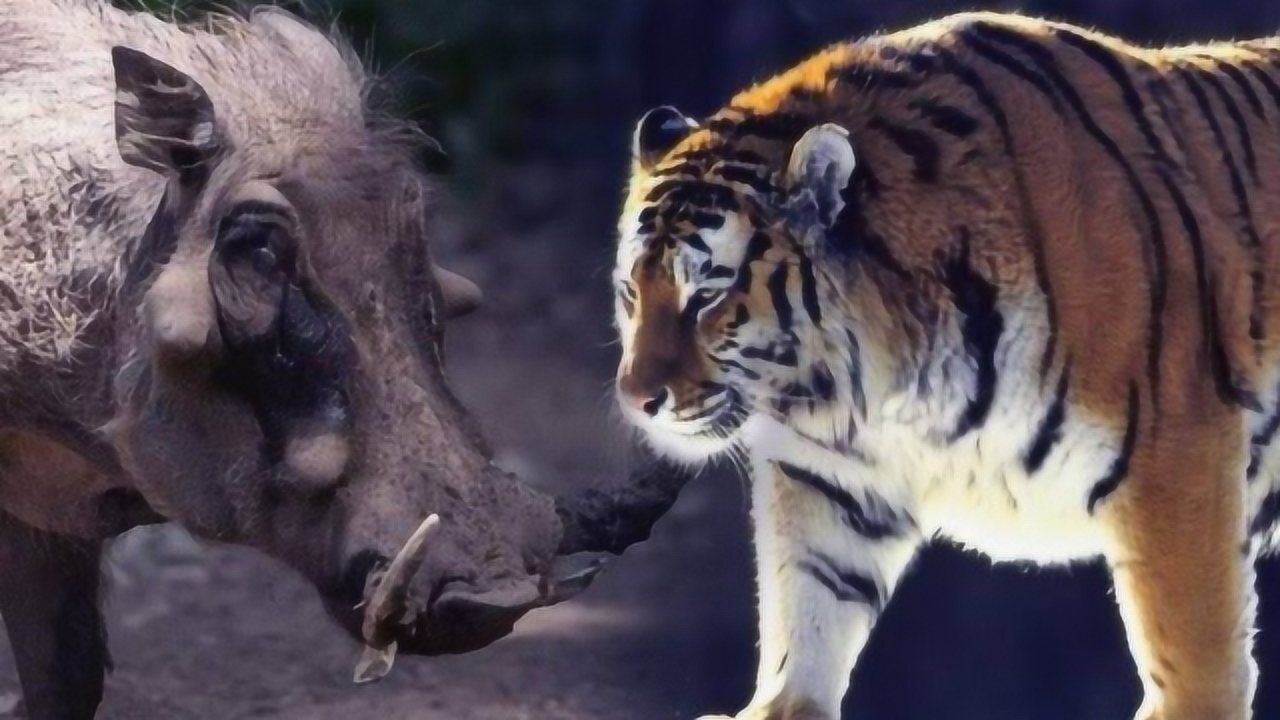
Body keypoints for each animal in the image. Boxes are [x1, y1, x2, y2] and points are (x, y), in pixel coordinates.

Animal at [612, 11, 1280, 720]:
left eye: (706, 296)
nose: (637, 400)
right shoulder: (828, 477)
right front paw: (782, 706)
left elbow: (1195, 656)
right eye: (631, 292)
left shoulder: (1176, 459)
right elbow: (808, 604)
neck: (872, 387)